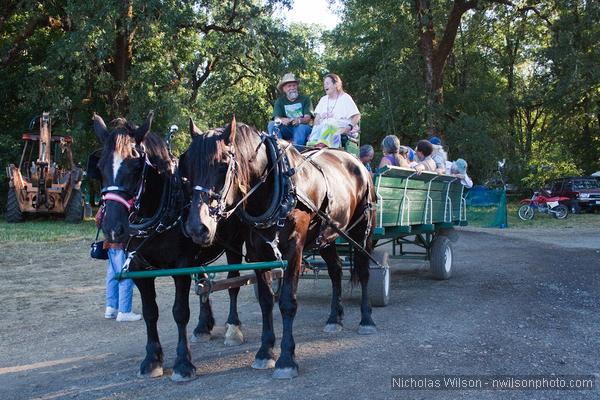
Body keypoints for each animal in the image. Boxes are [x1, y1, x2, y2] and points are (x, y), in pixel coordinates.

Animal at [92, 111, 246, 382]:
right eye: (100, 167)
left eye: (135, 166)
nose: (111, 227)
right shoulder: (139, 268)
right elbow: (150, 311)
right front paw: (152, 359)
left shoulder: (181, 266)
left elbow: (180, 311)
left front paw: (183, 363)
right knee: (204, 283)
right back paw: (203, 326)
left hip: (235, 245)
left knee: (234, 283)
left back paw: (233, 326)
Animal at [182, 118, 376, 378]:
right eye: (188, 170)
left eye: (223, 166)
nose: (197, 227)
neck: (276, 188)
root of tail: (356, 162)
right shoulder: (258, 253)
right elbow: (266, 301)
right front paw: (265, 352)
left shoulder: (295, 250)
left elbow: (287, 302)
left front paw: (286, 358)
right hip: (327, 234)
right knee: (335, 270)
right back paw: (334, 318)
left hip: (362, 230)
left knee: (364, 271)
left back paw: (367, 319)